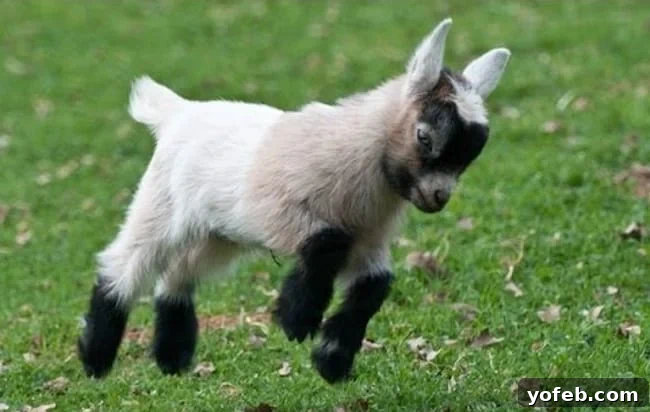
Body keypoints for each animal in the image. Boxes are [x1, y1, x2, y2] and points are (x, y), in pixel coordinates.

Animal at [78, 18, 510, 383]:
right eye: (425, 137)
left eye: (468, 158)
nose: (439, 197)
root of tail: (177, 111)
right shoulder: (277, 210)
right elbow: (327, 243)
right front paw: (296, 319)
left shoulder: (368, 238)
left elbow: (375, 285)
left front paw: (332, 359)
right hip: (162, 205)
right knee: (124, 262)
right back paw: (96, 358)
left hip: (218, 234)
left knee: (178, 273)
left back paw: (172, 356)